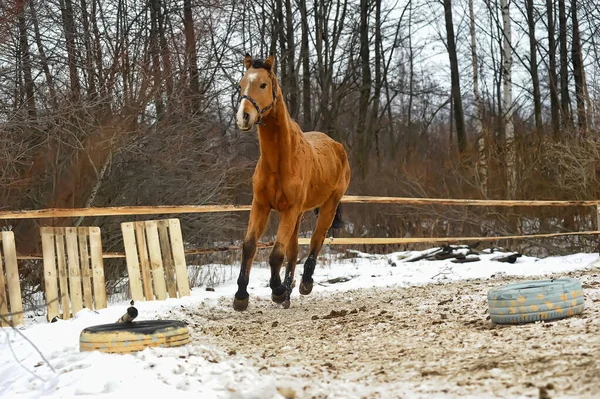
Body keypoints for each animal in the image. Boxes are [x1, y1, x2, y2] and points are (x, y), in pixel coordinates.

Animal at [231, 53, 352, 310]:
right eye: (242, 83)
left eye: (263, 85)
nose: (243, 117)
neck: (280, 162)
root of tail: (336, 146)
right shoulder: (261, 205)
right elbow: (249, 246)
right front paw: (241, 296)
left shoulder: (289, 210)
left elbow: (276, 253)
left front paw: (276, 291)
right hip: (299, 215)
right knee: (294, 250)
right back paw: (288, 289)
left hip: (327, 206)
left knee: (316, 240)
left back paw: (304, 283)